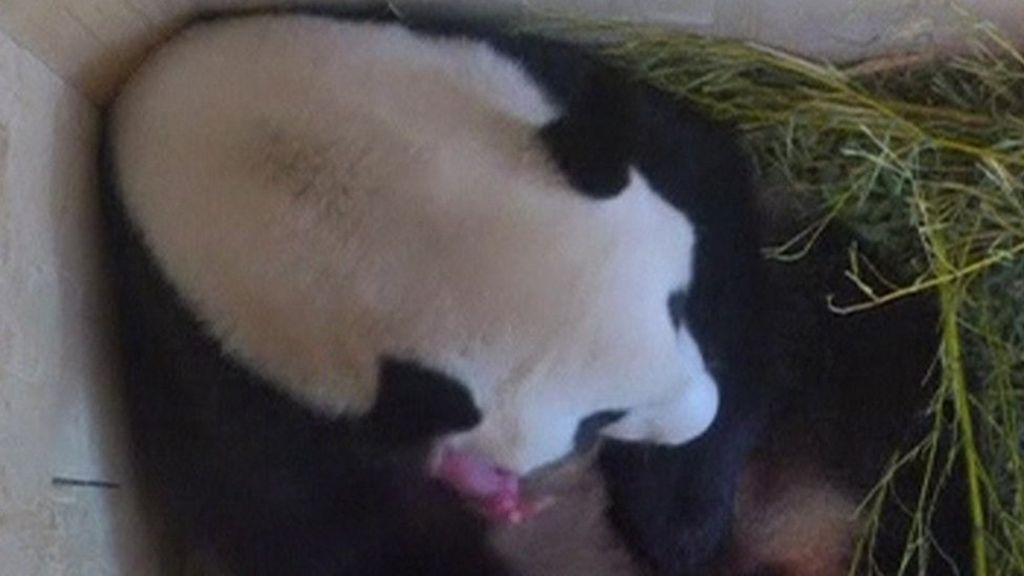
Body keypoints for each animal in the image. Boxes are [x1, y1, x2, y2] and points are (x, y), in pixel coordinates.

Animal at [99, 6, 969, 576]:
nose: (698, 414)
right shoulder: (222, 378)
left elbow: (716, 213)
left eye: (674, 304)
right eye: (594, 421)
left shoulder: (519, 70)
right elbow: (331, 534)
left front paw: (683, 516)